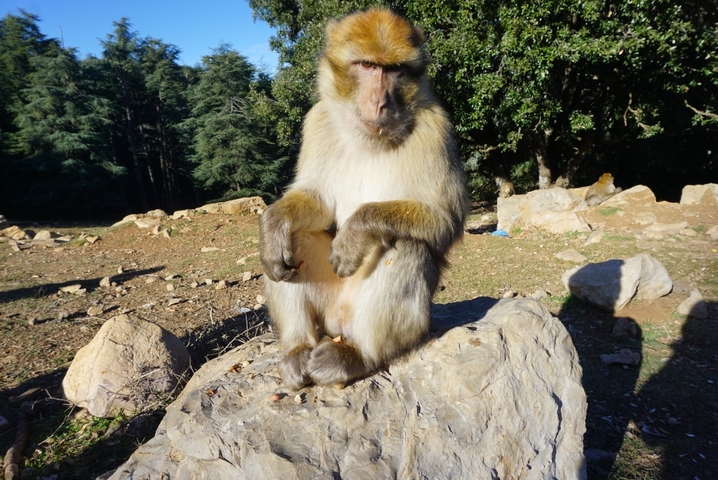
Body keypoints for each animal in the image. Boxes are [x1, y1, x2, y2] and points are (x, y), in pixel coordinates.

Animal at [259, 9, 468, 390]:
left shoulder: (437, 128)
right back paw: (297, 348)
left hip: (399, 325)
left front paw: (356, 232)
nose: (380, 101)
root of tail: (340, 322)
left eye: (395, 70)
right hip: (327, 310)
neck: (369, 138)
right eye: (367, 66)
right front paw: (273, 224)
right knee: (298, 237)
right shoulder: (317, 121)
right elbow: (317, 200)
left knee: (406, 246)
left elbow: (446, 217)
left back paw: (357, 355)